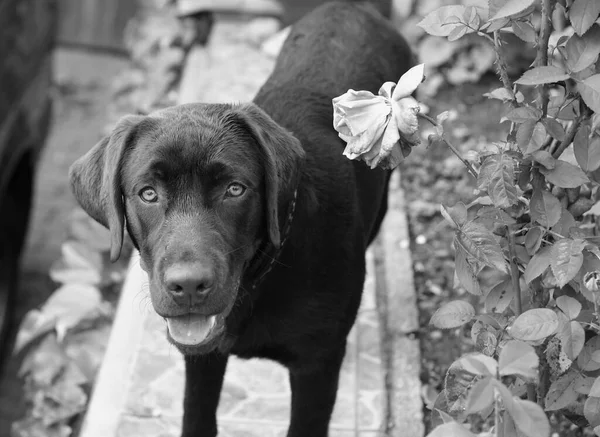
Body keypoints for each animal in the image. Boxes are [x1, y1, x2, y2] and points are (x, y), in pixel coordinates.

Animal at [67, 1, 412, 434]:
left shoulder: (316, 369)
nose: (188, 285)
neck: (259, 281)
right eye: (147, 193)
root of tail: (353, 7)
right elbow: (197, 416)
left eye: (234, 189)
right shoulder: (201, 356)